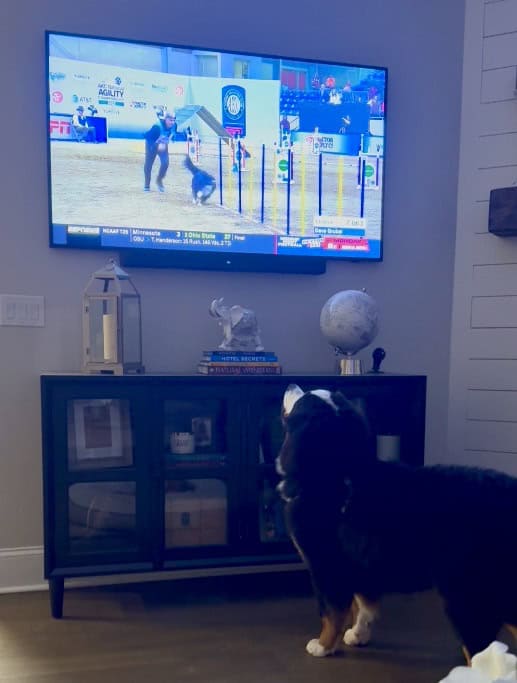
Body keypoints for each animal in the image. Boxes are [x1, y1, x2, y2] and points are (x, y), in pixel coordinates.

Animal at [276, 382, 516, 660]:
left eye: (303, 398)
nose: (291, 384)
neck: (334, 473)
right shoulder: (361, 562)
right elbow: (363, 604)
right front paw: (358, 634)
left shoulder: (326, 565)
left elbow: (331, 613)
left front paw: (323, 645)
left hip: (468, 592)